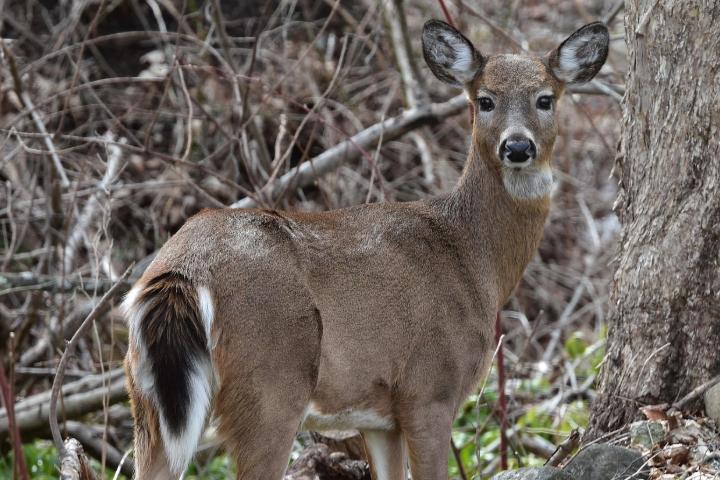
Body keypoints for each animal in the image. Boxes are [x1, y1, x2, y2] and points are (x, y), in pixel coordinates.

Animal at [123, 19, 609, 480]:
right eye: (485, 100)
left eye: (546, 99)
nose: (518, 146)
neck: (473, 257)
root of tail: (182, 270)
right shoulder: (429, 389)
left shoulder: (379, 416)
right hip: (269, 385)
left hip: (147, 399)